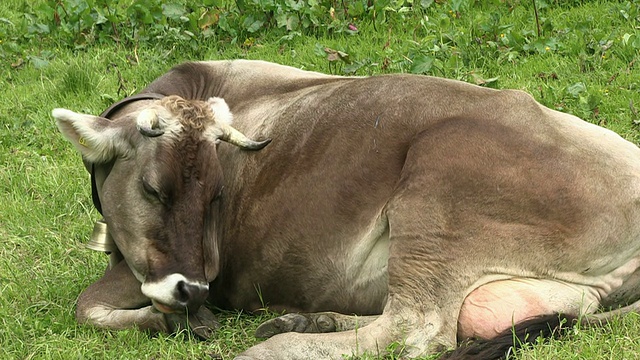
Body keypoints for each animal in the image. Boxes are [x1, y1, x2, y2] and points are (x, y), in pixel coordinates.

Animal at [52, 60, 640, 358]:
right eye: (154, 190)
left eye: (218, 194)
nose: (193, 292)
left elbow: (86, 307)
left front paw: (168, 320)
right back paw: (308, 320)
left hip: (438, 185)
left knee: (414, 328)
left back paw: (277, 345)